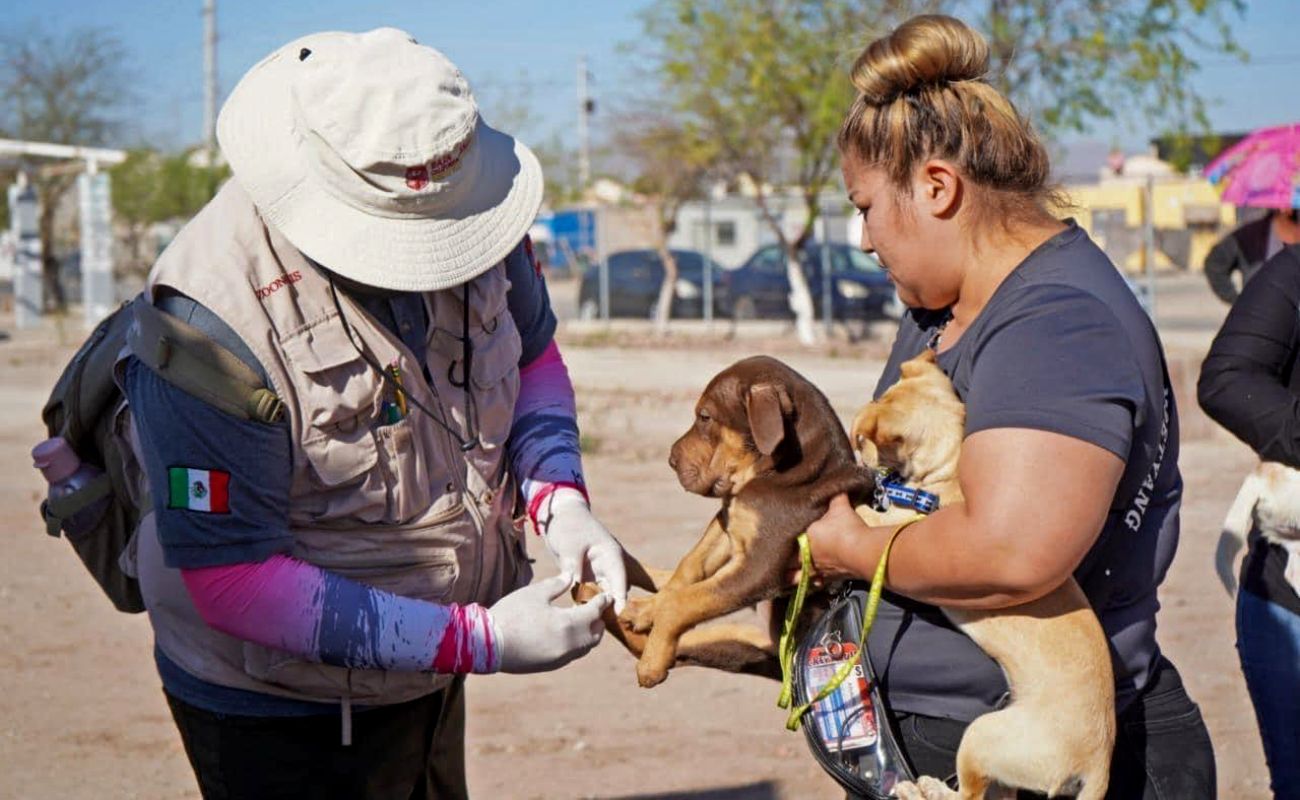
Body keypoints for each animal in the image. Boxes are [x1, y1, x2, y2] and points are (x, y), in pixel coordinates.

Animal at [618, 356, 873, 686]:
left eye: (705, 416)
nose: (671, 460)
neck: (778, 472)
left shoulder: (759, 567)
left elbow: (686, 601)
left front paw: (652, 662)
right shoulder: (729, 522)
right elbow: (689, 568)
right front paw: (649, 608)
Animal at [852, 353, 1118, 800]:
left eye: (858, 440)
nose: (859, 463)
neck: (949, 469)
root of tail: (1099, 759)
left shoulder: (896, 529)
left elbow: (865, 519)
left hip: (980, 735)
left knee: (967, 795)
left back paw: (921, 789)